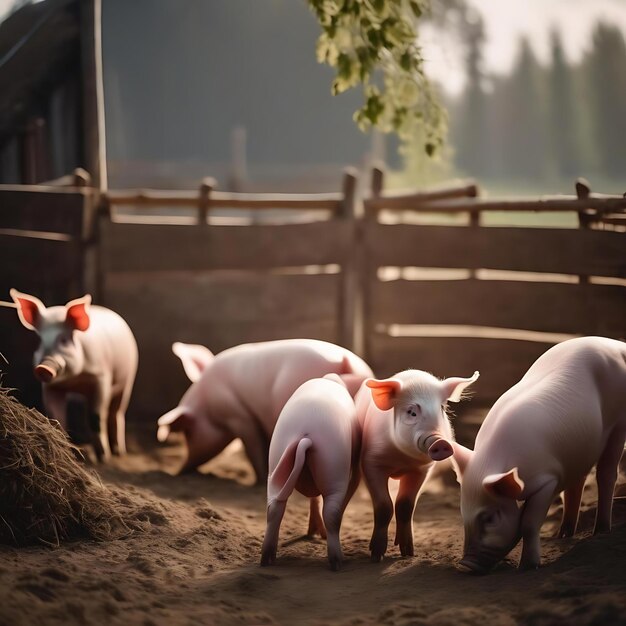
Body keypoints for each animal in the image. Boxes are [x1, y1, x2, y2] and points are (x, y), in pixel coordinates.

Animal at [10, 288, 138, 458]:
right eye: (41, 341)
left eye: (64, 340)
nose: (43, 368)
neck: (74, 380)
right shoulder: (52, 387)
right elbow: (56, 417)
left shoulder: (101, 378)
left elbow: (96, 417)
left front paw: (104, 457)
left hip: (128, 380)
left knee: (116, 413)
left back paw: (119, 452)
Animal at [156, 338, 370, 480]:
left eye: (188, 433)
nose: (178, 471)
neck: (208, 404)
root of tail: (344, 360)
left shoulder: (239, 416)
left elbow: (253, 445)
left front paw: (259, 479)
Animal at [258, 372, 358, 568]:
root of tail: (306, 433)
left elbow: (313, 498)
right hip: (335, 466)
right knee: (332, 512)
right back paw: (337, 562)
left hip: (277, 456)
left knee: (274, 508)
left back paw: (267, 560)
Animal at [356, 368, 478, 560]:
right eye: (411, 412)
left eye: (442, 409)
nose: (440, 442)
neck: (402, 459)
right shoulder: (371, 463)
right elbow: (384, 506)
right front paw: (376, 556)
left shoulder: (421, 470)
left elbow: (405, 505)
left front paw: (408, 553)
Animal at [448, 334, 624, 572]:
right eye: (463, 512)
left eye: (490, 518)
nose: (464, 566)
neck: (494, 461)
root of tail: (617, 345)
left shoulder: (547, 480)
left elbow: (529, 524)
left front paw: (527, 567)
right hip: (579, 451)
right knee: (576, 483)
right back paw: (563, 535)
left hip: (619, 422)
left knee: (606, 473)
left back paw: (601, 531)